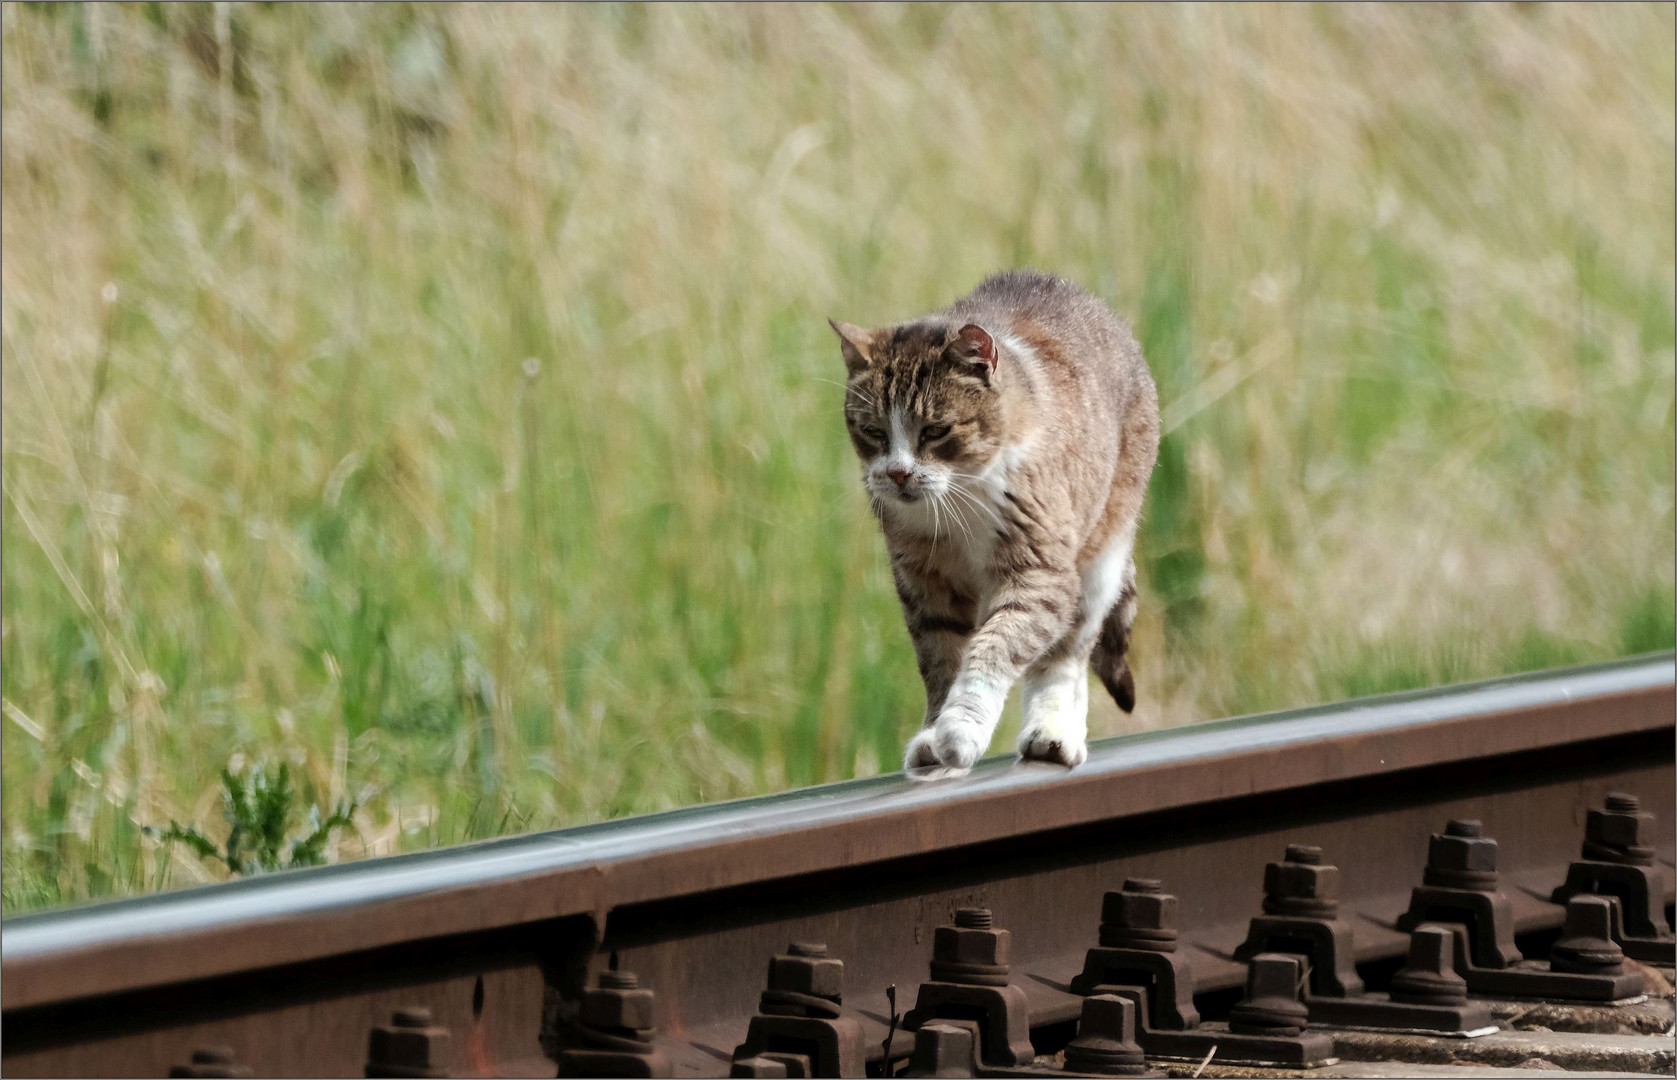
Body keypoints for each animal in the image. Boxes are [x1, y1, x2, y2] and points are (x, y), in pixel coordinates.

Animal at [831, 270, 1160, 774]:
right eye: (872, 432)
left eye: (935, 431)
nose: (898, 473)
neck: (958, 499)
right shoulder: (924, 584)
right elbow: (941, 661)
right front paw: (934, 734)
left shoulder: (1040, 573)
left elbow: (995, 647)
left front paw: (960, 729)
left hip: (1101, 557)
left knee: (1065, 657)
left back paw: (1054, 733)